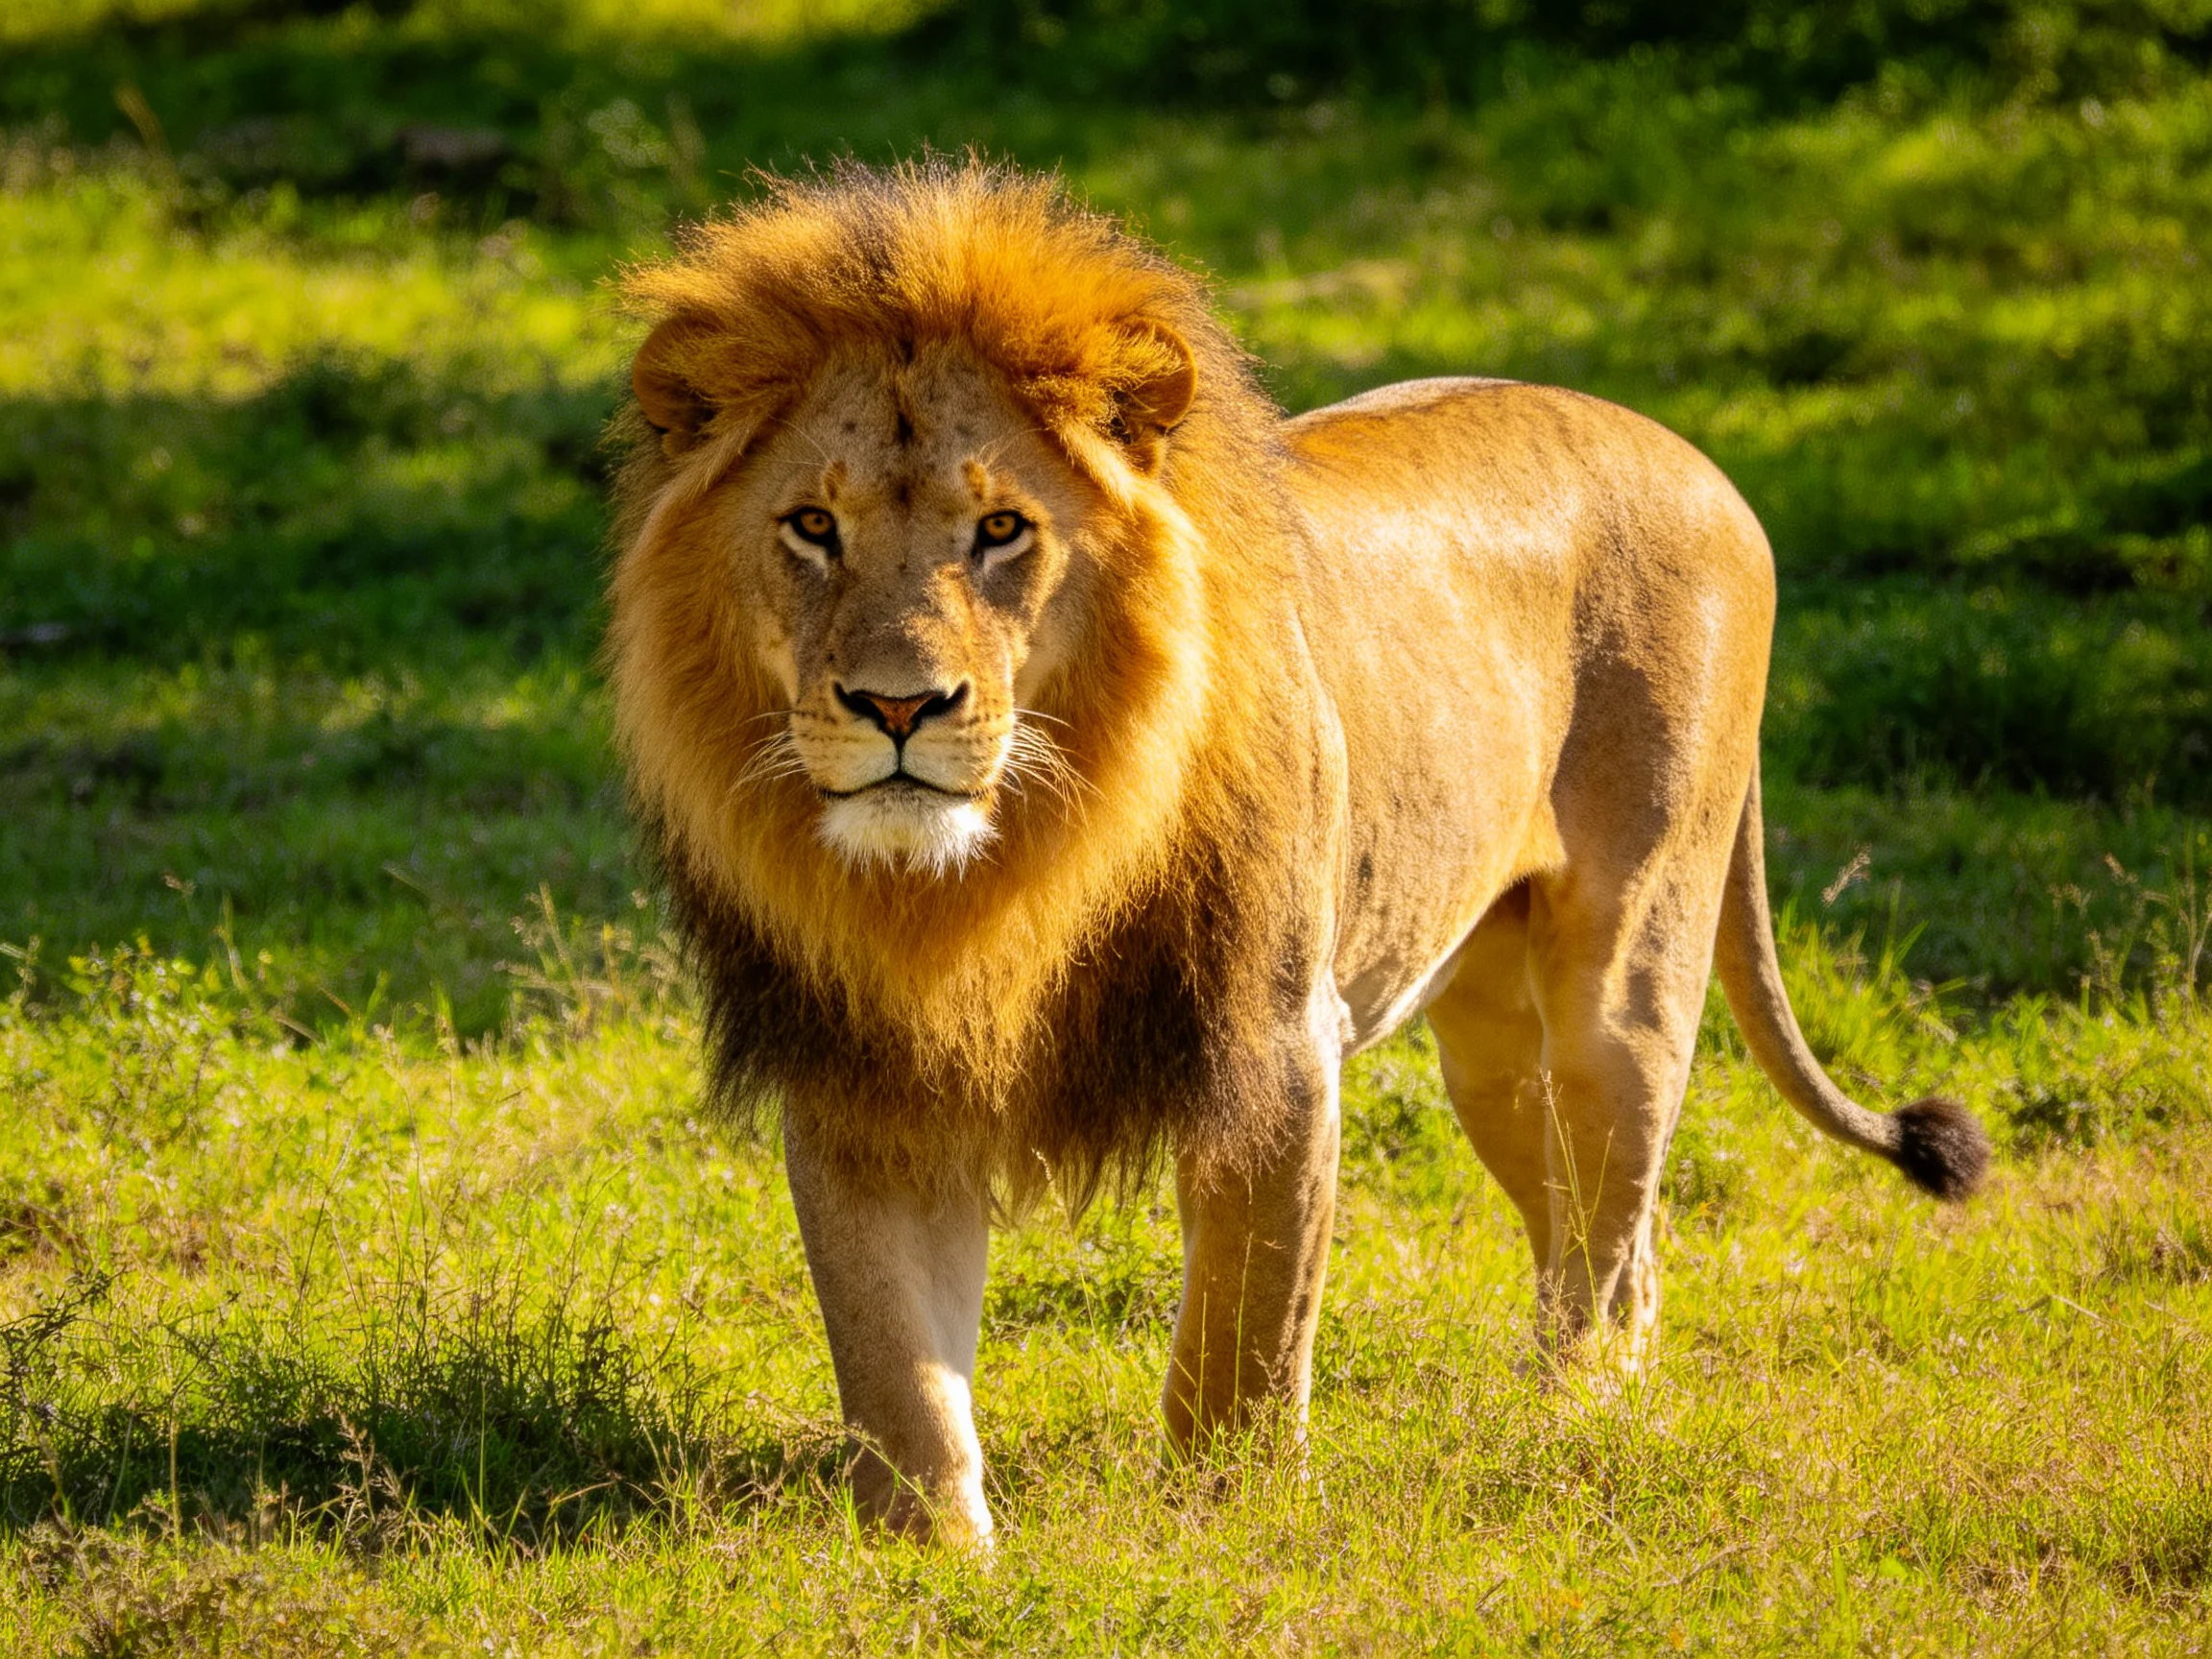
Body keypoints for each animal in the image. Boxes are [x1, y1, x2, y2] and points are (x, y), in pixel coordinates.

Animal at [605, 159, 1990, 1549]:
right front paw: (931, 1558)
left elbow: (1247, 1335)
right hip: (1493, 1044)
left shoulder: (1272, 1047)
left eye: (1000, 528)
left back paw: (1571, 1425)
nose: (900, 707)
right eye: (811, 526)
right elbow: (896, 1361)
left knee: (1612, 1234)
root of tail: (1697, 457)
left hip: (1627, 979)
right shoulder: (864, 1075)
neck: (1000, 874)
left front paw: (1230, 1529)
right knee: (1601, 1234)